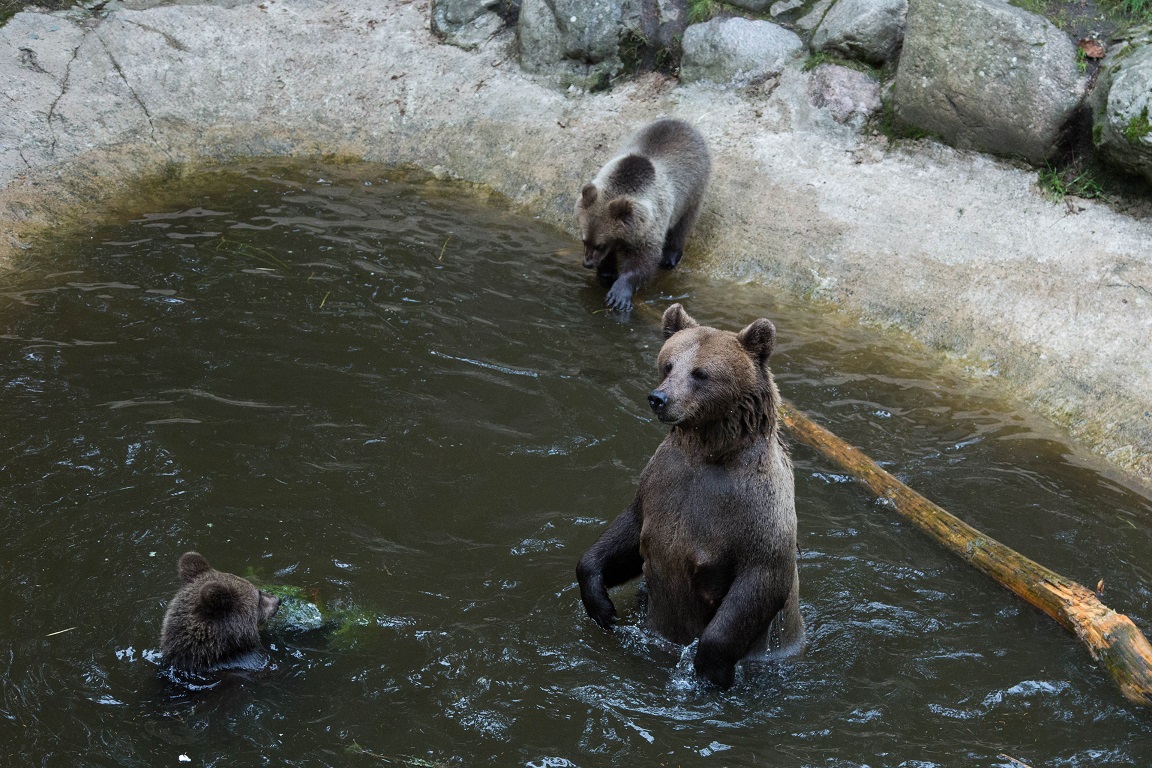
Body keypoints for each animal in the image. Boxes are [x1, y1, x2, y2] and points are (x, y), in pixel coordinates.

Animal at [573, 303, 801, 686]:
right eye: (668, 364)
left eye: (701, 373)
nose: (659, 398)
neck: (707, 453)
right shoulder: (662, 485)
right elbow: (628, 532)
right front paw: (601, 606)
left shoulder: (755, 511)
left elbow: (759, 581)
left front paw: (711, 668)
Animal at [576, 118, 709, 310]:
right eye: (584, 240)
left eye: (600, 245)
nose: (587, 263)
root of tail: (683, 123)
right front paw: (607, 273)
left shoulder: (651, 224)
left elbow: (644, 260)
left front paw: (619, 294)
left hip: (693, 189)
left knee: (684, 224)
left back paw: (670, 257)